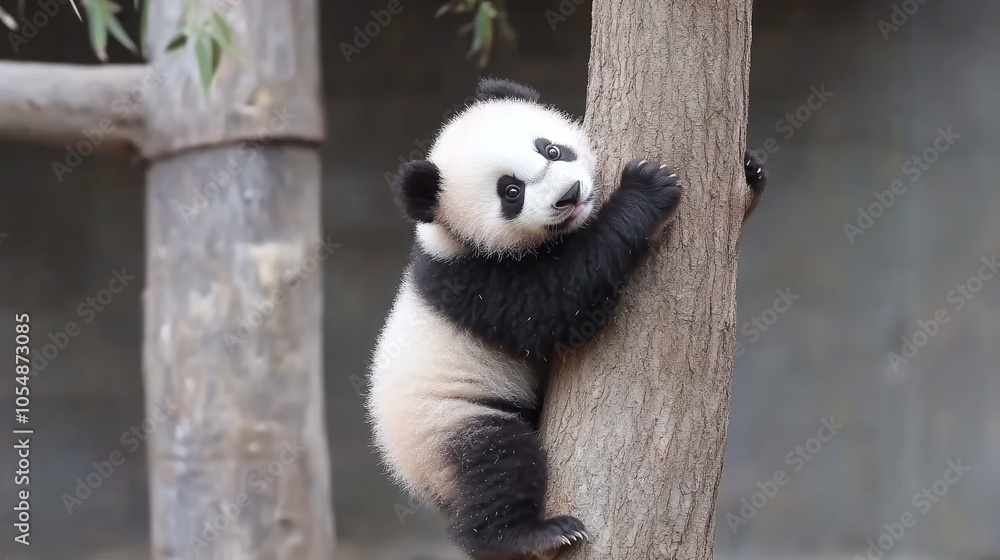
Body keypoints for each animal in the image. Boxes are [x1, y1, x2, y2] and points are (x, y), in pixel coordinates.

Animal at [367, 77, 767, 560]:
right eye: (511, 192)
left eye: (551, 150)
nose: (569, 195)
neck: (451, 237)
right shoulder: (475, 281)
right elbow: (559, 305)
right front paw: (646, 191)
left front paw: (751, 171)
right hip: (443, 421)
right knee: (495, 459)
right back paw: (527, 534)